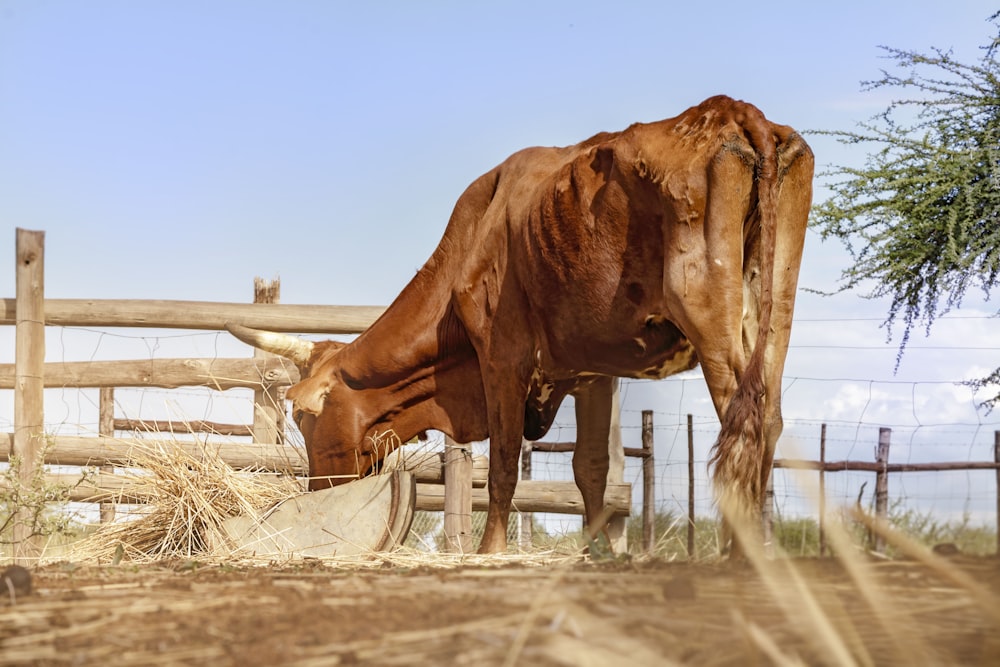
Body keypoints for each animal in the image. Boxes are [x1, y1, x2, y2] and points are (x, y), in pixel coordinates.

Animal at [229, 94, 812, 552]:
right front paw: (598, 554)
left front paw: (488, 551)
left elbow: (505, 463)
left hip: (707, 308)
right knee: (768, 418)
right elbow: (590, 469)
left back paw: (739, 553)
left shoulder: (502, 357)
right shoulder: (593, 373)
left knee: (742, 420)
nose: (317, 491)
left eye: (303, 413)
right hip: (773, 312)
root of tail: (734, 111)